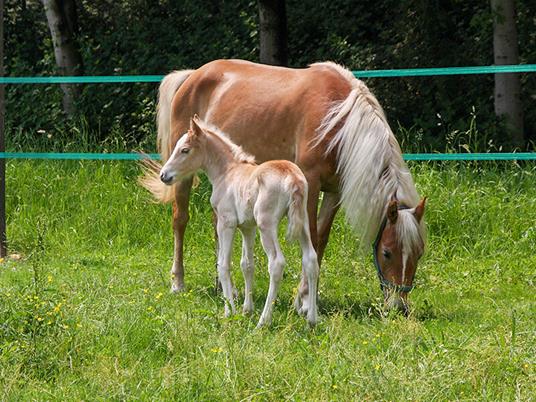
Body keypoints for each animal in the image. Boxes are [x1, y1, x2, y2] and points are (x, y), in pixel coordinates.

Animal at [158, 116, 318, 326]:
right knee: (311, 259)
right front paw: (246, 310)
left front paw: (229, 311)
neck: (227, 172)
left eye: (185, 150)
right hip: (302, 222)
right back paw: (312, 319)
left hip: (266, 225)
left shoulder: (226, 222)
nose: (164, 175)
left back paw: (263, 321)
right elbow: (247, 265)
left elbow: (223, 264)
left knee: (276, 263)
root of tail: (293, 179)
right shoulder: (247, 227)